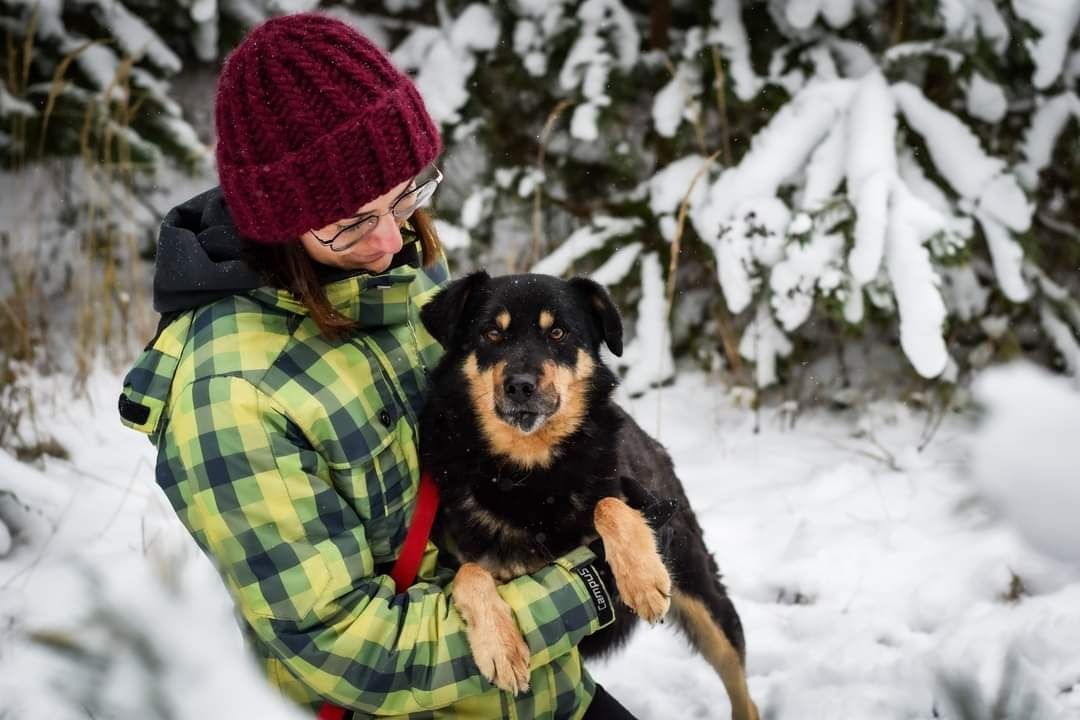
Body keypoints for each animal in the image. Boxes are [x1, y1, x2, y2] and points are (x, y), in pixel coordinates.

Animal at [416, 272, 756, 720]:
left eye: (558, 332)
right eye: (491, 333)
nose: (519, 386)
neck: (530, 474)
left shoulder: (628, 497)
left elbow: (609, 505)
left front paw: (641, 578)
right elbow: (468, 575)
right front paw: (500, 646)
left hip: (703, 594)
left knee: (742, 690)